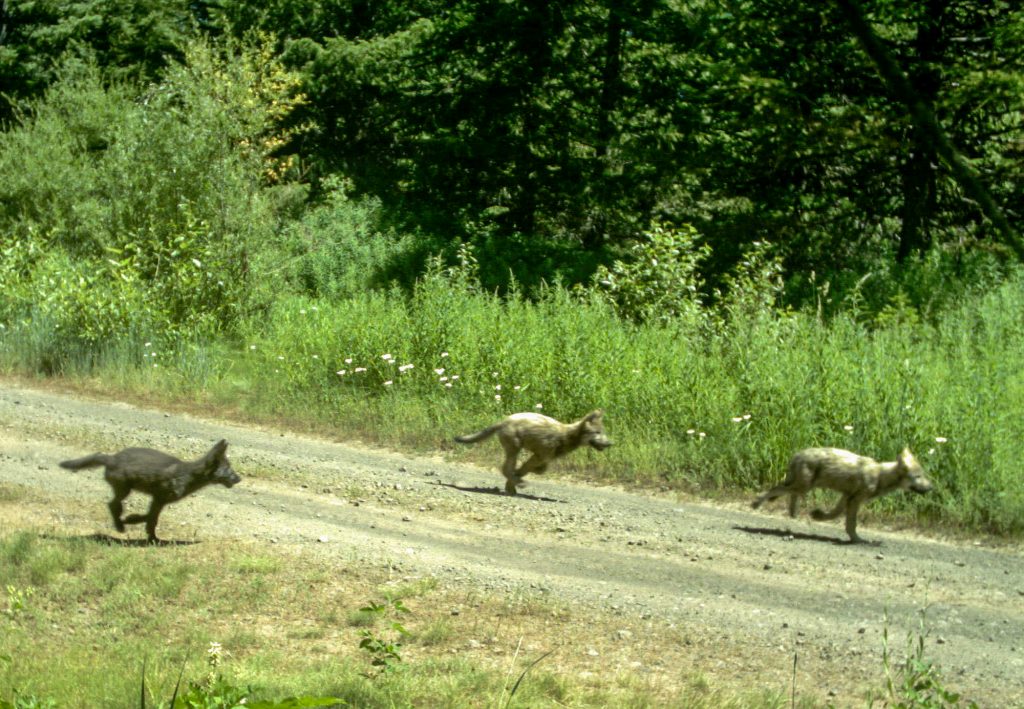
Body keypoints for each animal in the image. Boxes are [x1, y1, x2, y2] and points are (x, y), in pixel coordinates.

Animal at [59, 439, 241, 543]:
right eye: (228, 469)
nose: (239, 479)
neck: (187, 476)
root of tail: (111, 458)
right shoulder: (160, 497)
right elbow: (151, 518)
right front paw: (133, 521)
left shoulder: (159, 500)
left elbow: (152, 519)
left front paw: (151, 536)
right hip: (124, 488)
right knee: (112, 504)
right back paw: (119, 525)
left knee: (113, 504)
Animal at [455, 410, 612, 495]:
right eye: (597, 432)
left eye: (603, 432)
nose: (611, 444)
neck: (567, 436)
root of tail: (503, 422)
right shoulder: (539, 455)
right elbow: (525, 468)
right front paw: (515, 480)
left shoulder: (543, 458)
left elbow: (539, 470)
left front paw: (513, 481)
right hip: (514, 448)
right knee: (505, 468)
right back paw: (518, 483)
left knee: (508, 468)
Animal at [751, 446, 933, 543]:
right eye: (918, 477)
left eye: (923, 475)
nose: (931, 488)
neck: (880, 476)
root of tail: (797, 455)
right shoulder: (855, 500)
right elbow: (851, 524)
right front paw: (857, 540)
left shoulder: (847, 496)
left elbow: (834, 514)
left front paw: (818, 515)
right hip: (803, 486)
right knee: (775, 489)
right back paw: (756, 503)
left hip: (802, 487)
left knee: (787, 493)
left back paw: (792, 512)